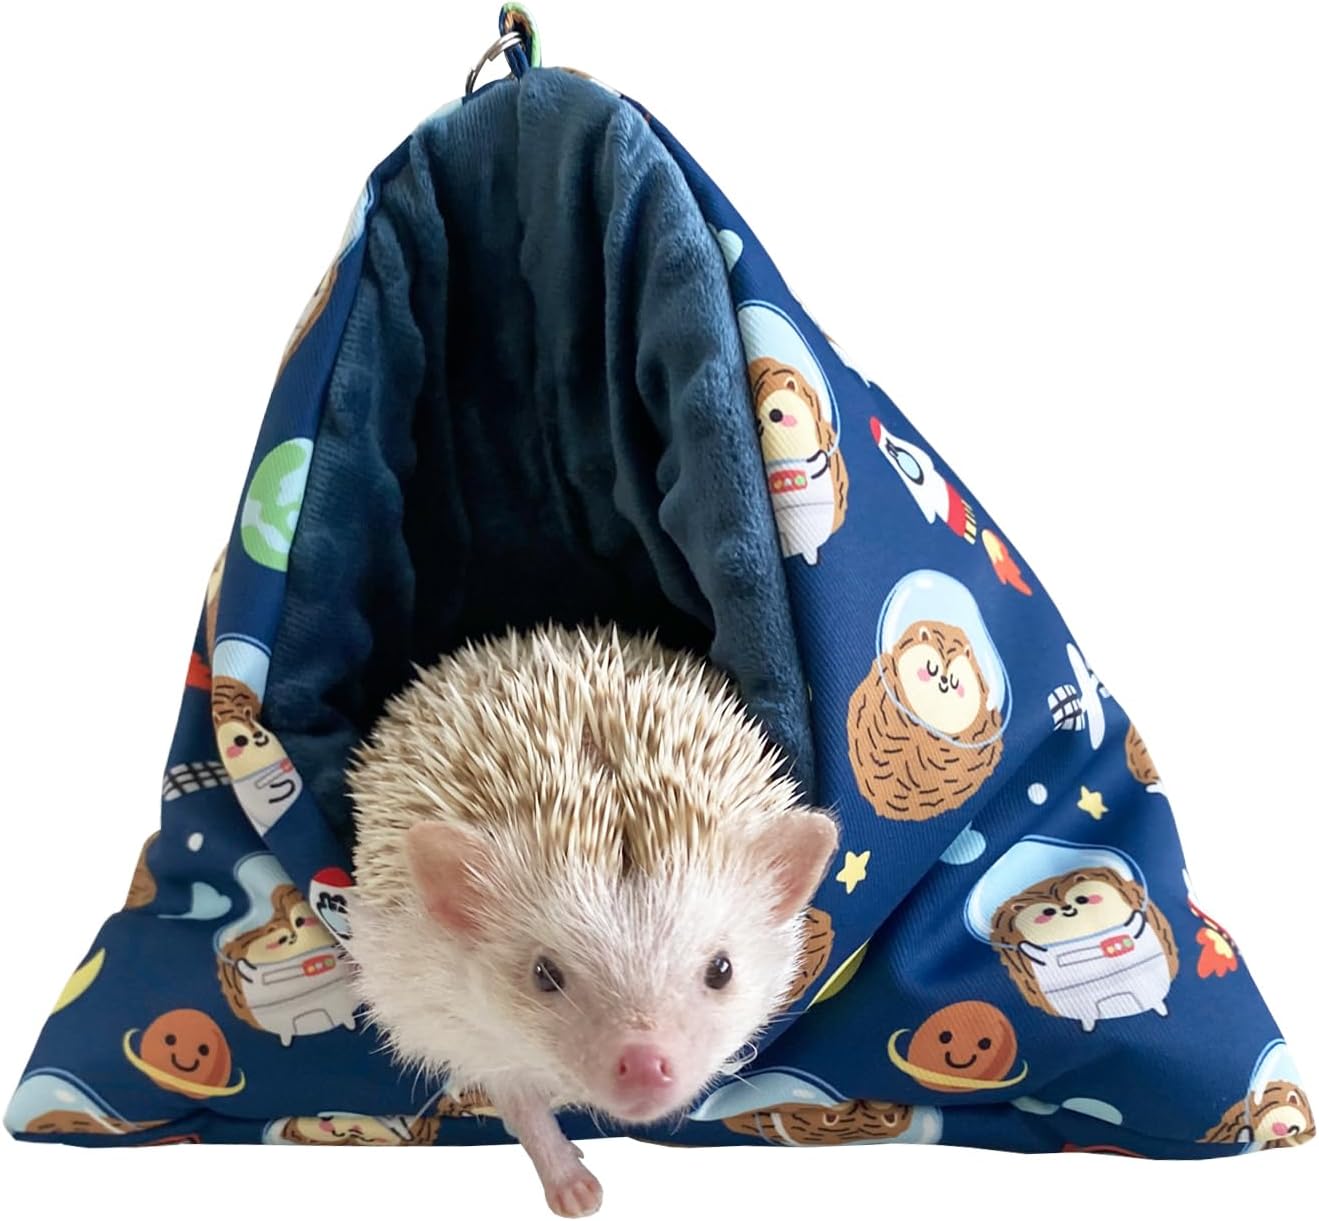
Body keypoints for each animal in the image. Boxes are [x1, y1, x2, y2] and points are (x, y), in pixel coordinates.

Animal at [347, 625, 839, 1217]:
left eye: (721, 969)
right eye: (544, 974)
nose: (645, 1065)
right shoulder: (430, 1001)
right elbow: (516, 1098)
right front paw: (571, 1185)